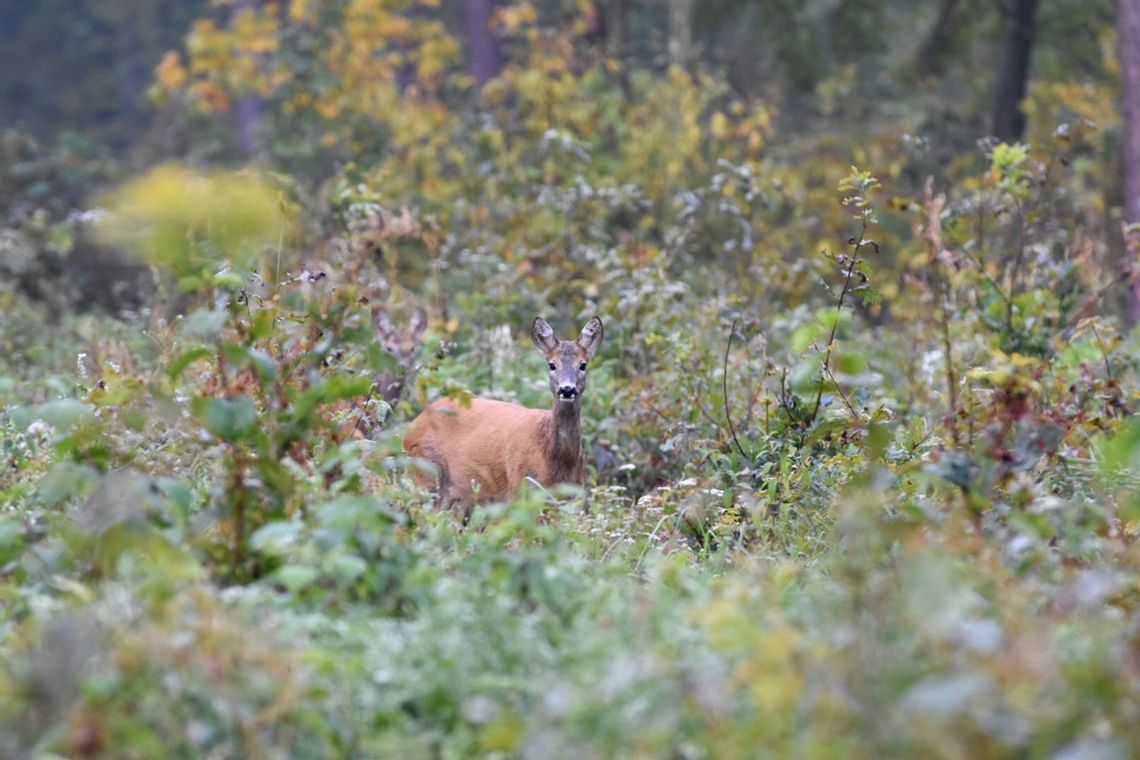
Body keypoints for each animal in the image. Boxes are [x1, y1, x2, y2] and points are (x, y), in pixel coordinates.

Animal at [408, 314, 611, 517]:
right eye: (552, 364)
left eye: (583, 365)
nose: (567, 389)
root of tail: (411, 428)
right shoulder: (519, 488)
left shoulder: (574, 497)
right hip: (426, 473)